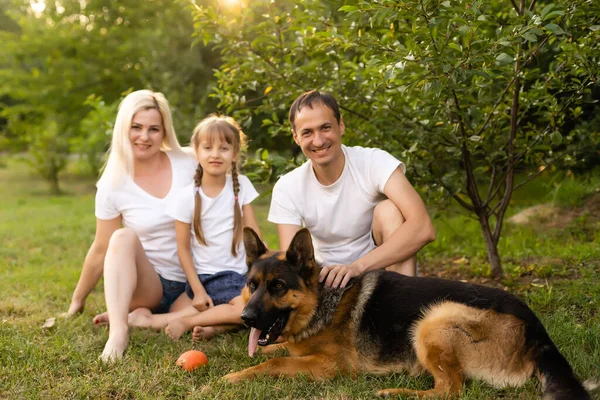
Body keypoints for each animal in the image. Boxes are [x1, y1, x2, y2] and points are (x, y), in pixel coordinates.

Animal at [223, 230, 592, 398]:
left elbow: (274, 362)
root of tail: (538, 332)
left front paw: (234, 376)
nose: (246, 318)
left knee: (450, 389)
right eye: (252, 284)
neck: (320, 302)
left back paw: (394, 392)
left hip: (433, 320)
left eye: (278, 286)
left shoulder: (329, 367)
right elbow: (276, 350)